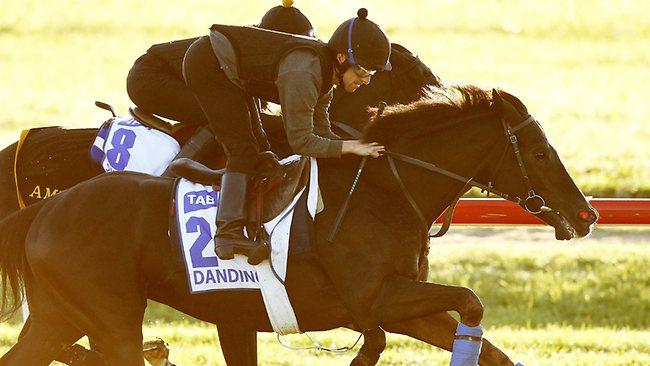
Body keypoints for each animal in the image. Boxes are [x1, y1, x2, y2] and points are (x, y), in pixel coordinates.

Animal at [0, 86, 596, 364]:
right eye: (539, 151)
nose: (586, 214)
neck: (382, 193)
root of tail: (43, 210)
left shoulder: (402, 303)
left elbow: (486, 343)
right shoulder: (376, 297)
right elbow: (469, 300)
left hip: (59, 315)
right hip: (110, 318)